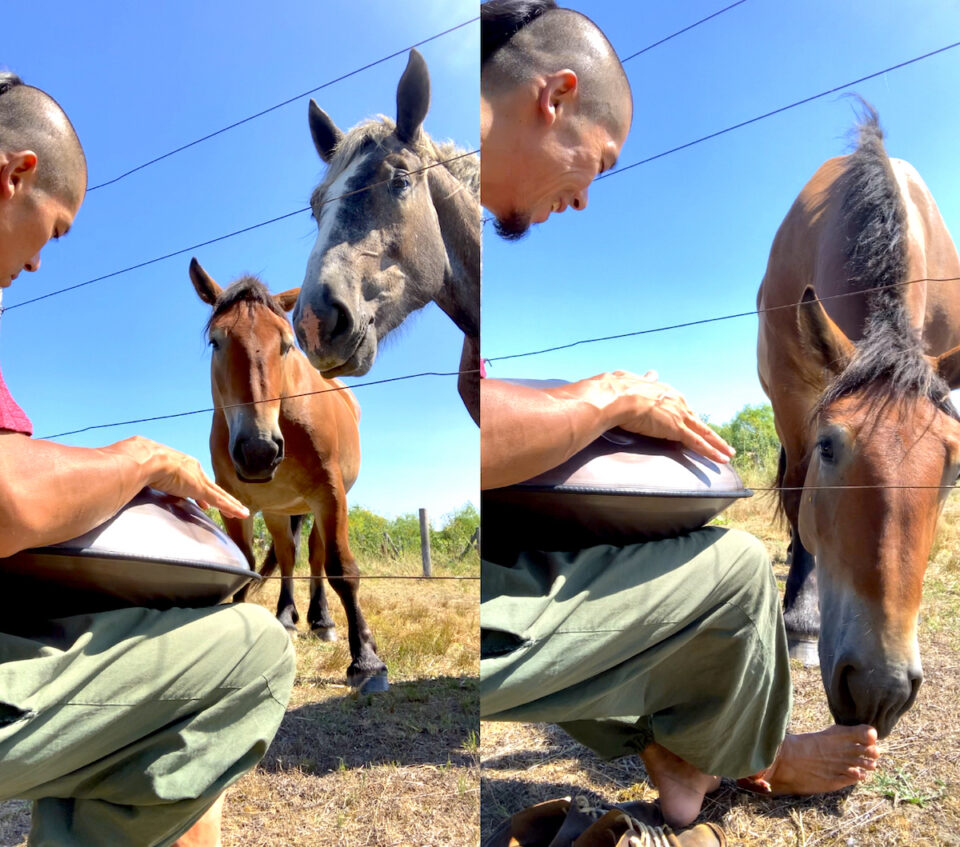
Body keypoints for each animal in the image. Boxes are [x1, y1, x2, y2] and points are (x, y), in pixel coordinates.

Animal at [188, 256, 386, 688]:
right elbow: (244, 566)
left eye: (286, 344)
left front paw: (366, 660)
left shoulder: (331, 494)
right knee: (290, 554)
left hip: (318, 504)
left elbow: (342, 569)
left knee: (315, 555)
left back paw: (322, 621)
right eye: (216, 342)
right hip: (280, 511)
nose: (258, 451)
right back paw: (286, 617)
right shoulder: (236, 505)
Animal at [756, 106, 960, 740]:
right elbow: (800, 501)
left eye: (955, 470)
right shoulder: (795, 401)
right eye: (830, 447)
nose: (879, 687)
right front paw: (799, 622)